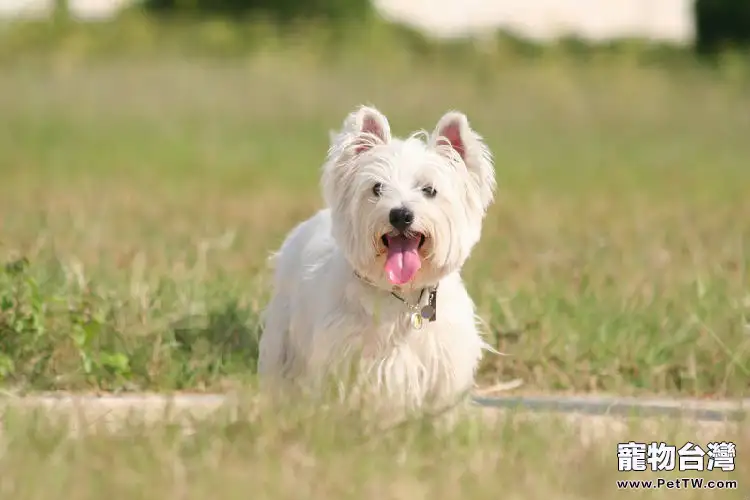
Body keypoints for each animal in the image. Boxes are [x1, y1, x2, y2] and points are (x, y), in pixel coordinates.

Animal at [258, 105, 500, 418]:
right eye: (377, 188)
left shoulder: (445, 360)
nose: (400, 215)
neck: (402, 296)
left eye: (429, 190)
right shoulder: (344, 354)